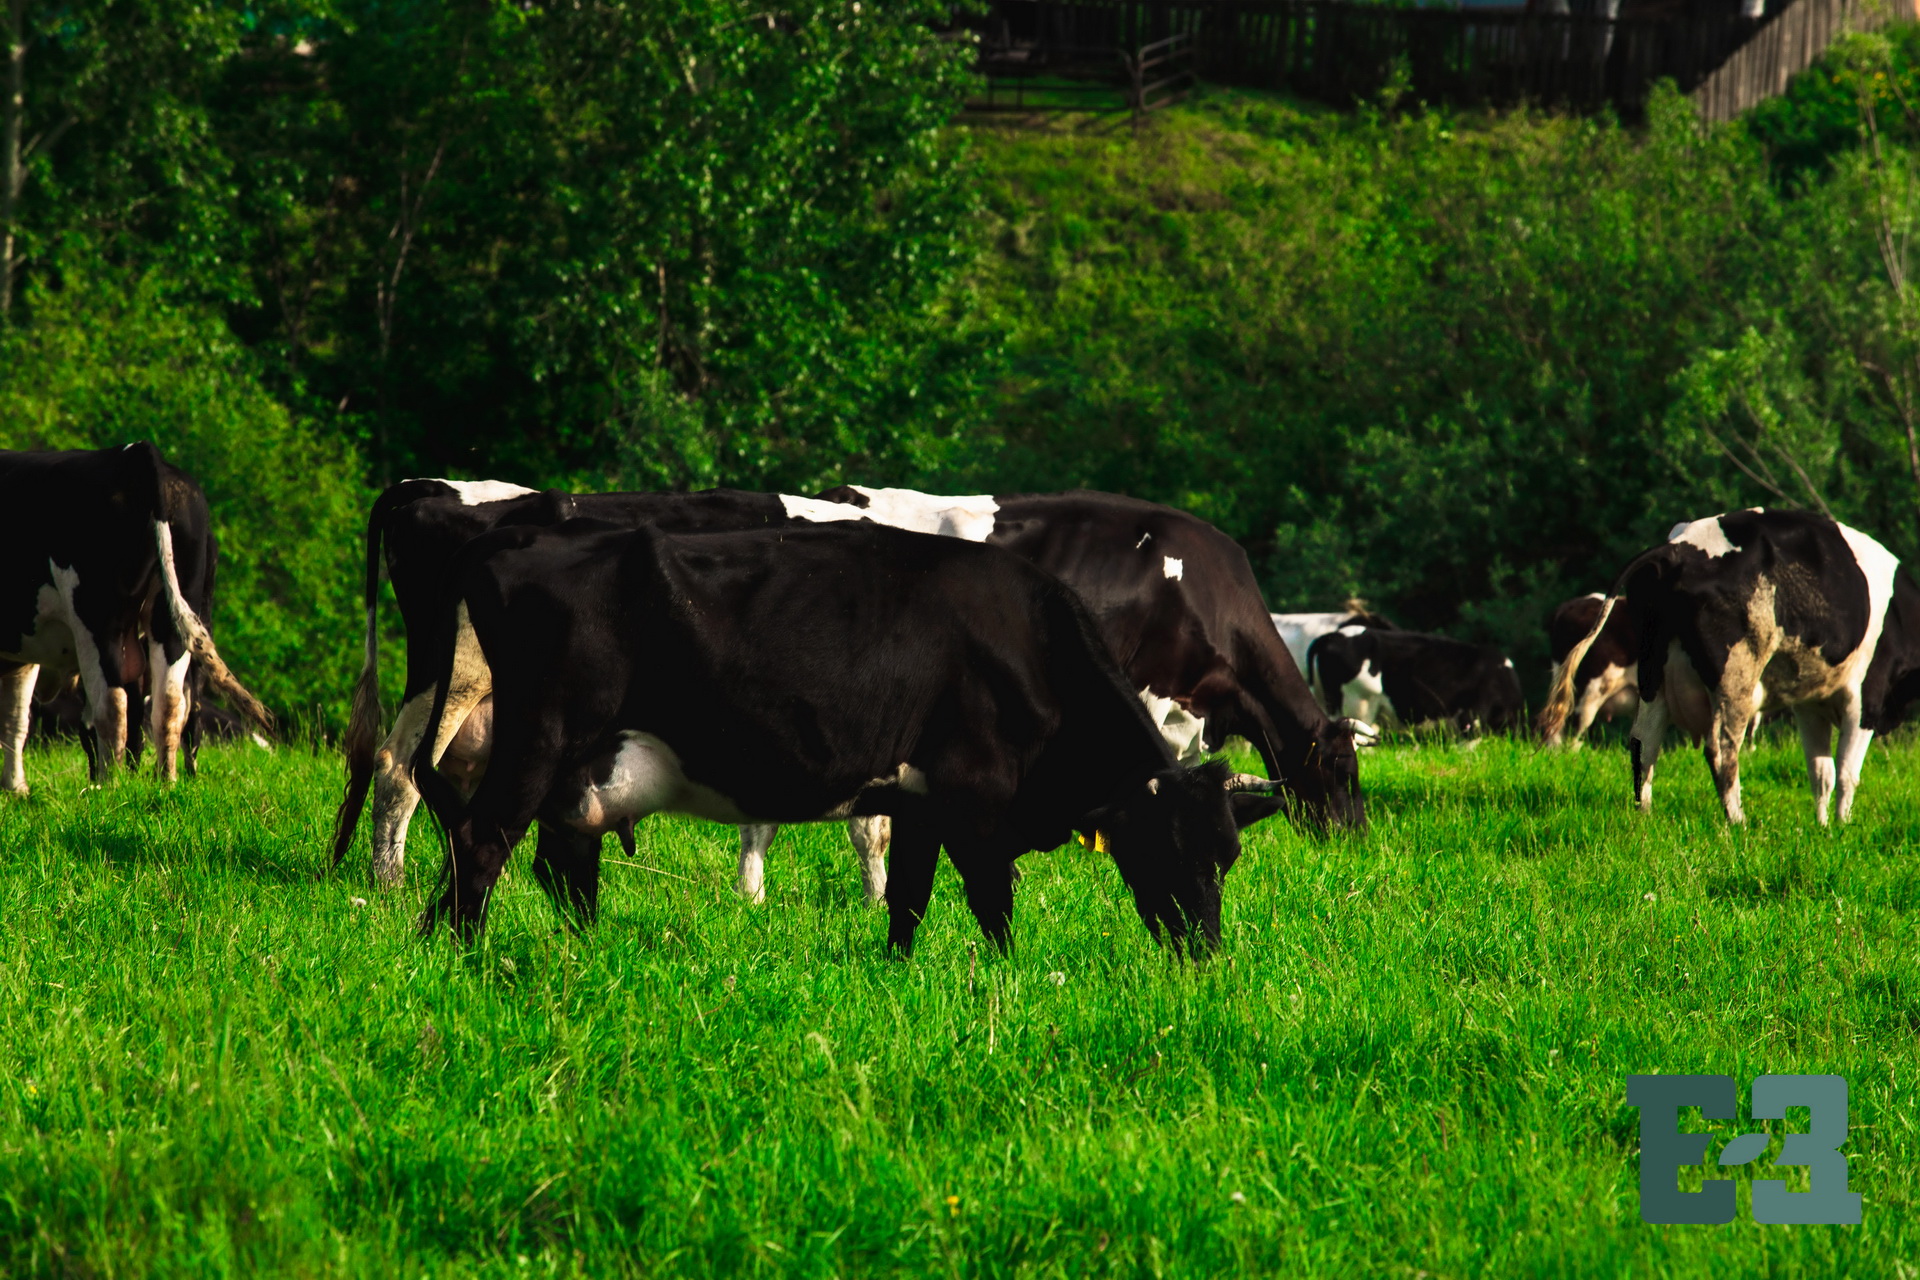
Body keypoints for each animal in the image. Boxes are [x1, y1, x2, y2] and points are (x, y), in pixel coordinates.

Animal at [410, 518, 1282, 951]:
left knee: (554, 865)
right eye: (1165, 842)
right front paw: (1008, 979)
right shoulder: (975, 794)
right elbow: (992, 901)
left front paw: (898, 972)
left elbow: (910, 900)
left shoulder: (923, 798)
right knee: (483, 844)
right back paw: (460, 959)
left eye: (1228, 855)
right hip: (540, 737)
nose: (1204, 952)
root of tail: (519, 538)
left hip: (572, 769)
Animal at [1536, 506, 1920, 825]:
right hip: (1732, 674)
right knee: (1720, 749)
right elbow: (1846, 772)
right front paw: (1842, 826)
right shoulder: (1866, 696)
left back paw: (1644, 814)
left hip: (1653, 675)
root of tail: (1676, 549)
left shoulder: (1810, 704)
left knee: (1643, 742)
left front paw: (1823, 827)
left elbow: (1820, 772)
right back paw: (1738, 822)